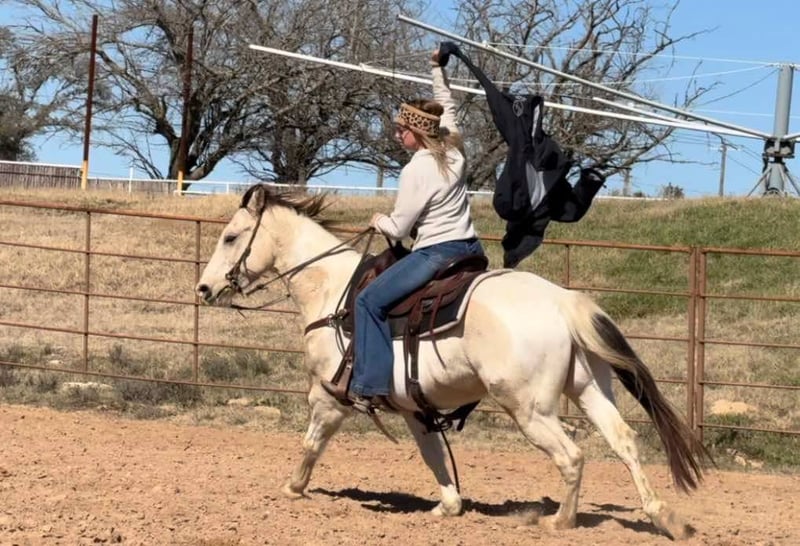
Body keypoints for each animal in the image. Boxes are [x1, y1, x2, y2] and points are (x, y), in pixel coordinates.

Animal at [196, 184, 711, 540]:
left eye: (231, 237)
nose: (204, 288)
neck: (332, 291)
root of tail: (562, 301)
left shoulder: (329, 395)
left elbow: (311, 443)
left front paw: (292, 488)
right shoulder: (413, 407)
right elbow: (434, 455)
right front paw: (448, 505)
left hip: (530, 410)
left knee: (572, 455)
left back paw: (559, 521)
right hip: (588, 390)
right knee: (624, 442)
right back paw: (666, 518)